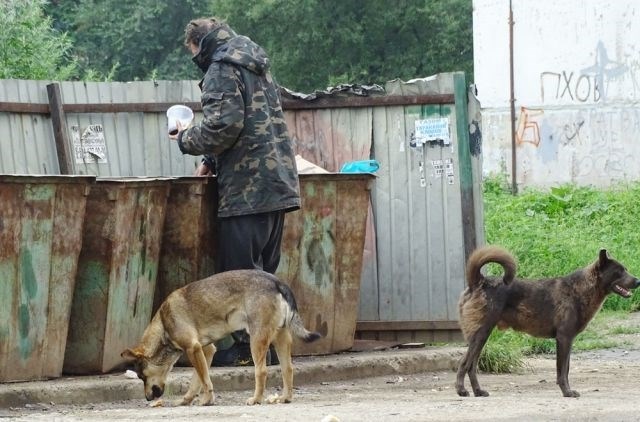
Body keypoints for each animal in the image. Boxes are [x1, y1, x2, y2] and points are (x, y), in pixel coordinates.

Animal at [120, 270, 320, 406]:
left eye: (142, 376)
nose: (147, 398)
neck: (163, 324)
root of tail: (277, 281)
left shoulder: (193, 349)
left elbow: (204, 380)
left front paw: (207, 400)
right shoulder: (205, 350)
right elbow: (197, 380)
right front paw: (187, 400)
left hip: (256, 339)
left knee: (261, 371)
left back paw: (256, 399)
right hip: (280, 338)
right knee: (288, 369)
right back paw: (285, 397)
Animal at [456, 246, 640, 398]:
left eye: (626, 270)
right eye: (619, 271)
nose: (638, 281)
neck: (581, 289)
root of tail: (478, 282)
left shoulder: (568, 341)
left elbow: (566, 369)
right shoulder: (564, 339)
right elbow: (562, 371)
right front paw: (567, 392)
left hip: (482, 337)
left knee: (472, 366)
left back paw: (478, 391)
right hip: (481, 334)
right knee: (464, 363)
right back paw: (461, 390)